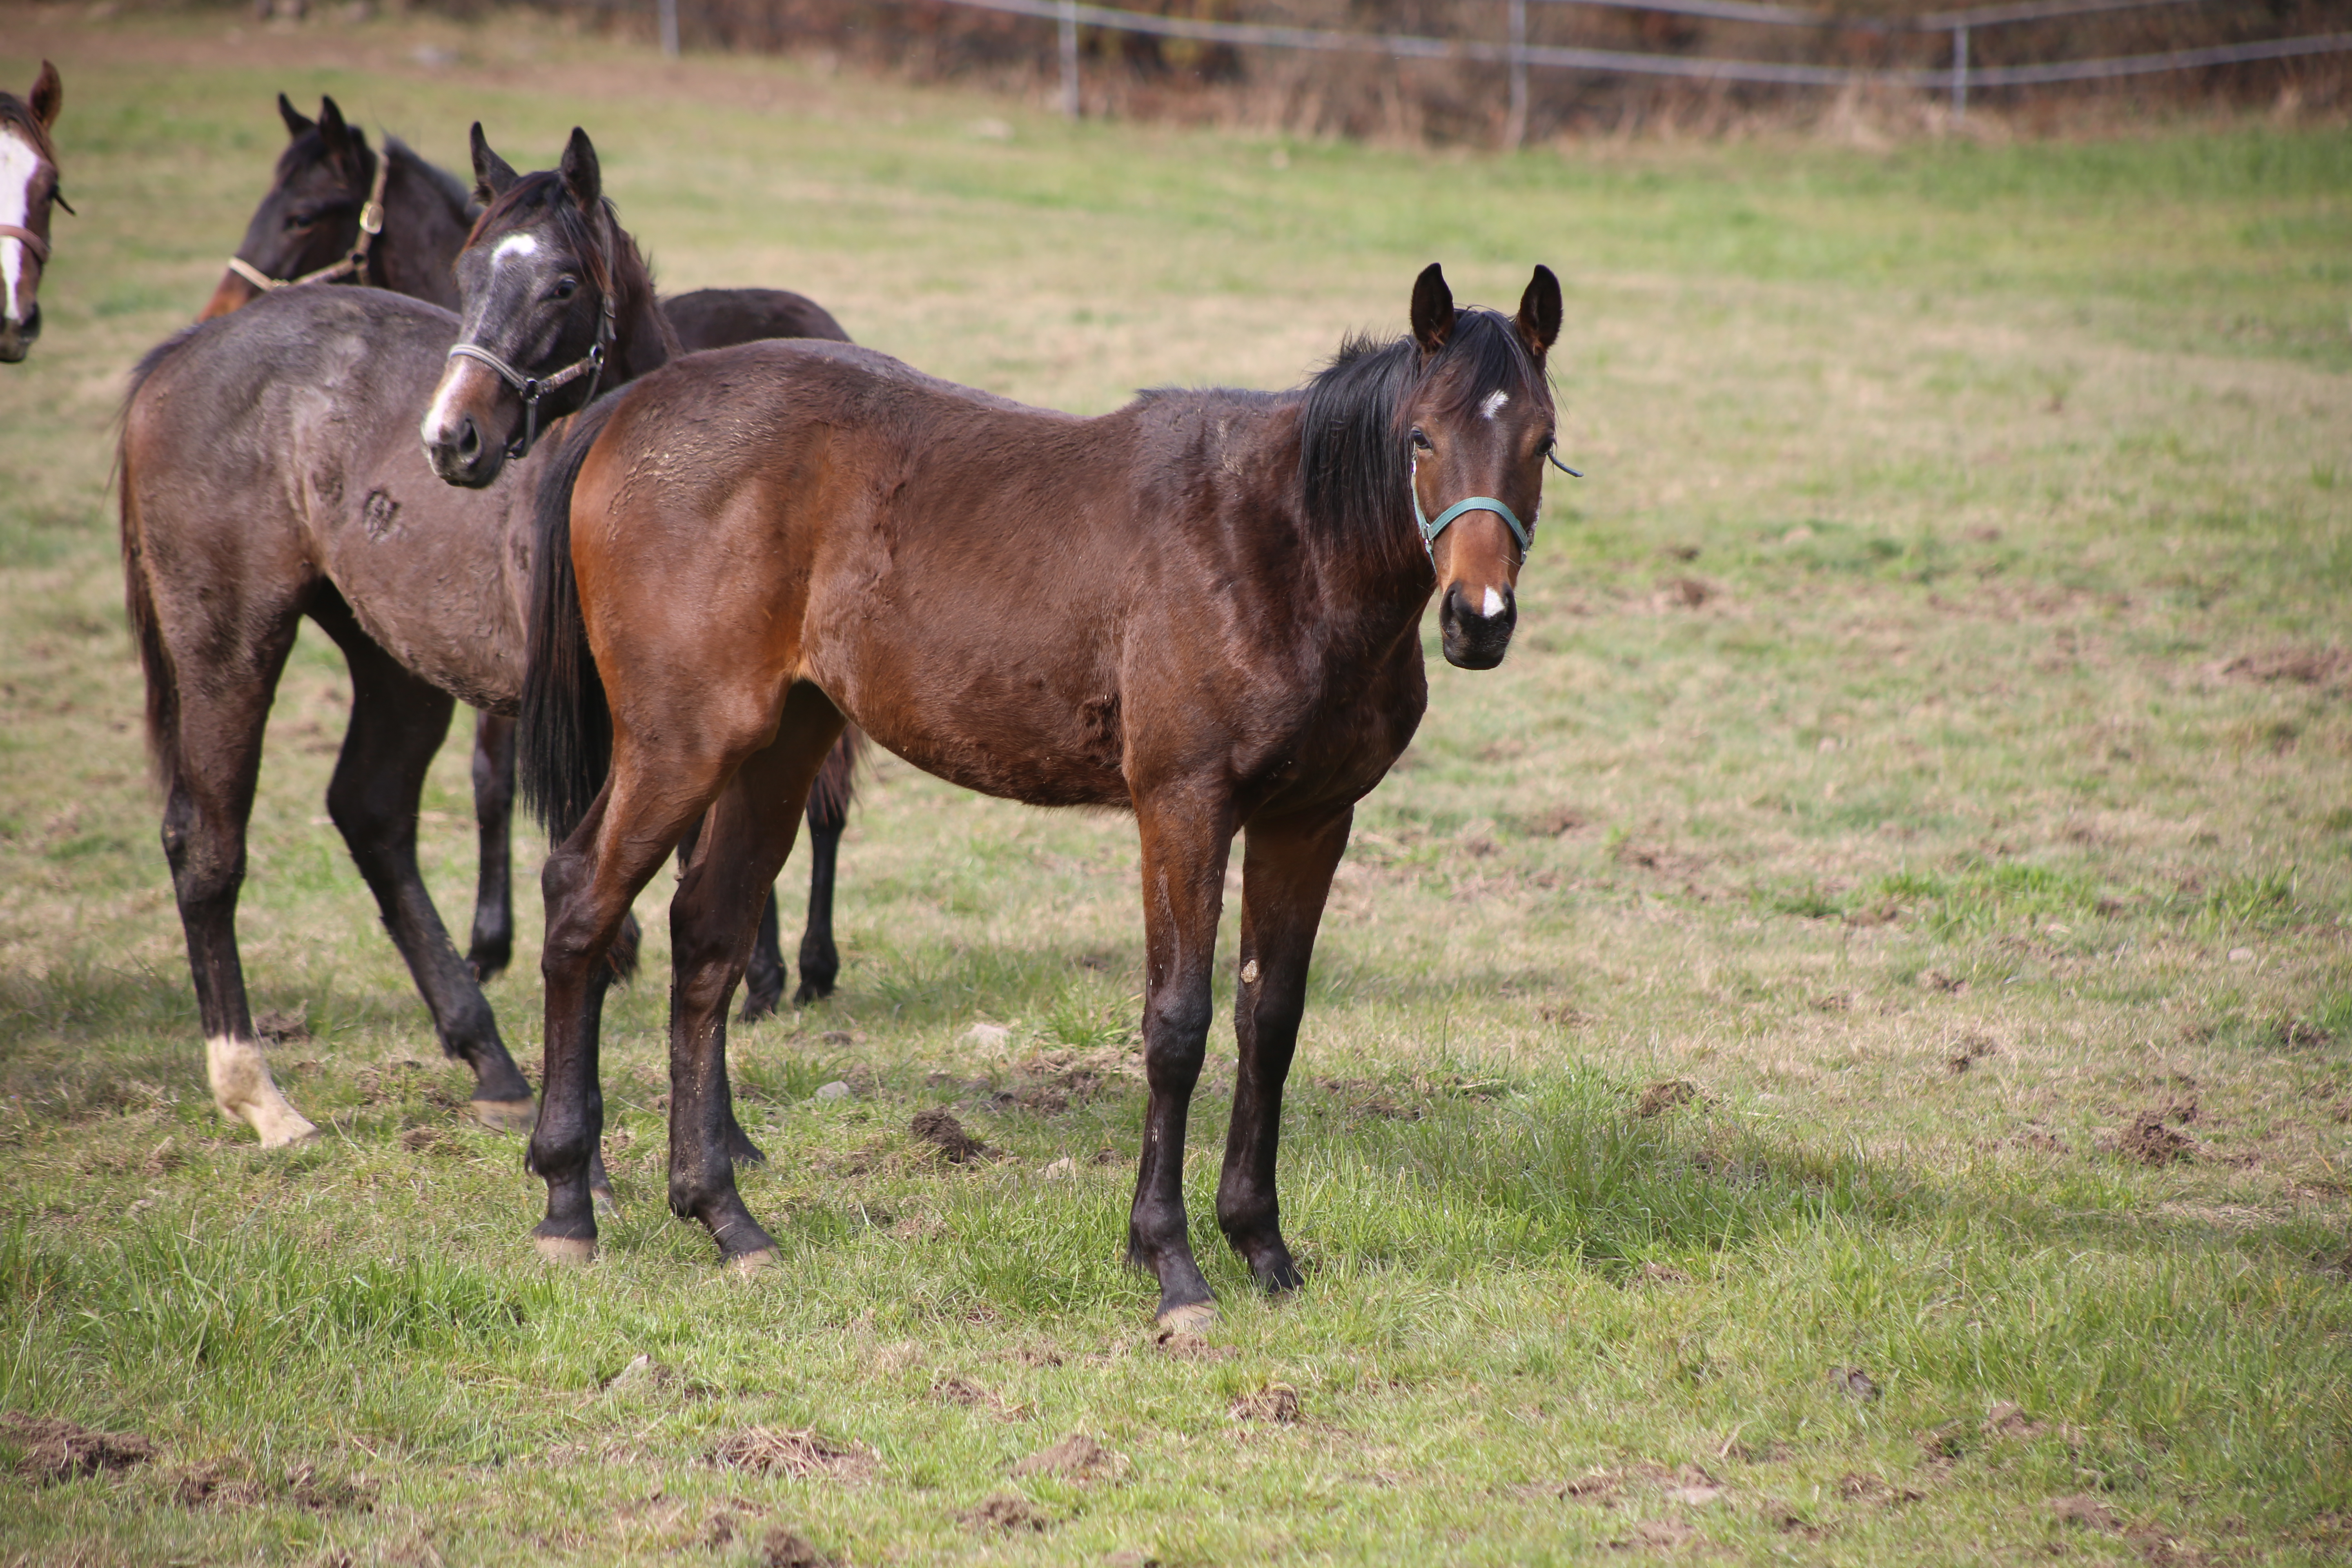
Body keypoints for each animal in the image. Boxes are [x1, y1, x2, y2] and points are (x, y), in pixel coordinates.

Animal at [122, 126, 790, 1175]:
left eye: (561, 283)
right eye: (469, 273)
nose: (452, 438)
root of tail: (182, 354)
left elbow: (700, 907)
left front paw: (723, 1136)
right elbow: (598, 909)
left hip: (394, 666)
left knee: (371, 813)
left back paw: (490, 1059)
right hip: (228, 644)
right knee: (207, 845)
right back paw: (259, 1095)